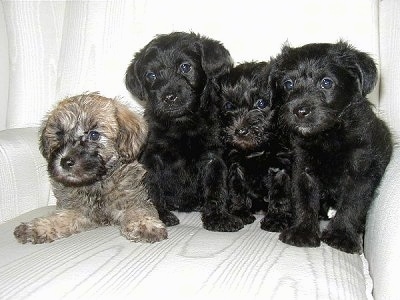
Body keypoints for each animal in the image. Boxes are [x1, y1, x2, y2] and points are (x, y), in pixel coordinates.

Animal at [13, 93, 167, 244]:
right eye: (59, 134)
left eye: (94, 135)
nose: (65, 161)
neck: (96, 183)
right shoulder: (79, 210)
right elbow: (61, 217)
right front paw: (38, 227)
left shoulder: (133, 199)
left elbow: (138, 211)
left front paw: (145, 225)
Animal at [125, 31, 244, 232]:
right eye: (151, 75)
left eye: (185, 67)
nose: (169, 96)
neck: (182, 124)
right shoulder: (151, 159)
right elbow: (152, 189)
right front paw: (160, 215)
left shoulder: (212, 158)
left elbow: (216, 189)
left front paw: (218, 217)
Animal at [217, 61, 292, 232]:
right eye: (229, 106)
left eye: (261, 103)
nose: (240, 131)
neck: (257, 148)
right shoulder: (235, 164)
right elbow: (237, 189)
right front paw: (239, 212)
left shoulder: (281, 165)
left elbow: (281, 194)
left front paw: (277, 219)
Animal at [272, 41, 394, 253]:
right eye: (288, 84)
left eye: (326, 83)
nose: (299, 111)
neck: (328, 136)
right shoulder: (303, 170)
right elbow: (304, 201)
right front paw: (302, 231)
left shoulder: (360, 173)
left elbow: (352, 204)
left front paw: (341, 235)